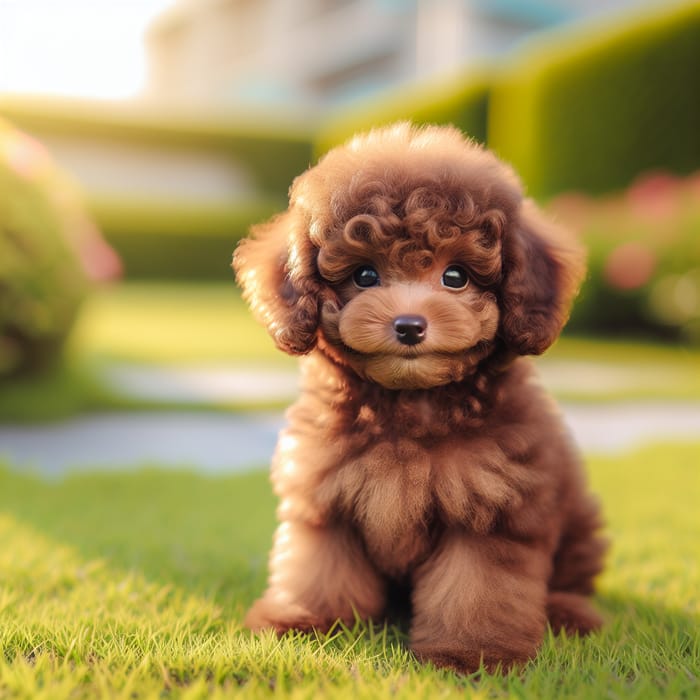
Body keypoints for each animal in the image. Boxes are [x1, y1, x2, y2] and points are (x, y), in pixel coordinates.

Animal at [232, 123, 604, 676]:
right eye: (364, 275)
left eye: (456, 277)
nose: (409, 326)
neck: (409, 407)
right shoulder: (326, 498)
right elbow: (317, 566)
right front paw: (306, 621)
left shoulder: (491, 509)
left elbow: (478, 588)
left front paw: (472, 654)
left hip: (577, 519)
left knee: (573, 578)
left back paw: (566, 613)